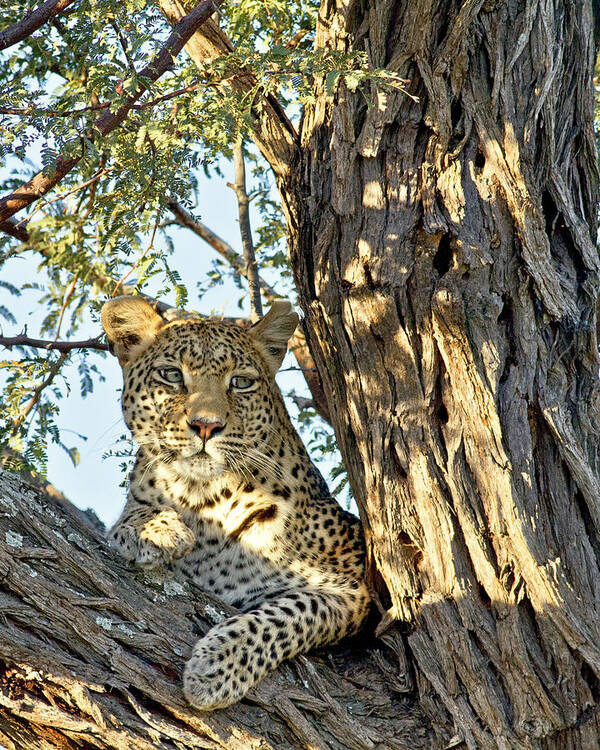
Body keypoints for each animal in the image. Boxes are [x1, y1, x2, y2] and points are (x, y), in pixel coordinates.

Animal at [101, 296, 368, 712]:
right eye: (172, 375)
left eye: (241, 382)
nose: (206, 426)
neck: (201, 497)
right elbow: (134, 511)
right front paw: (158, 530)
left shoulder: (353, 590)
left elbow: (286, 615)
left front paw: (215, 668)